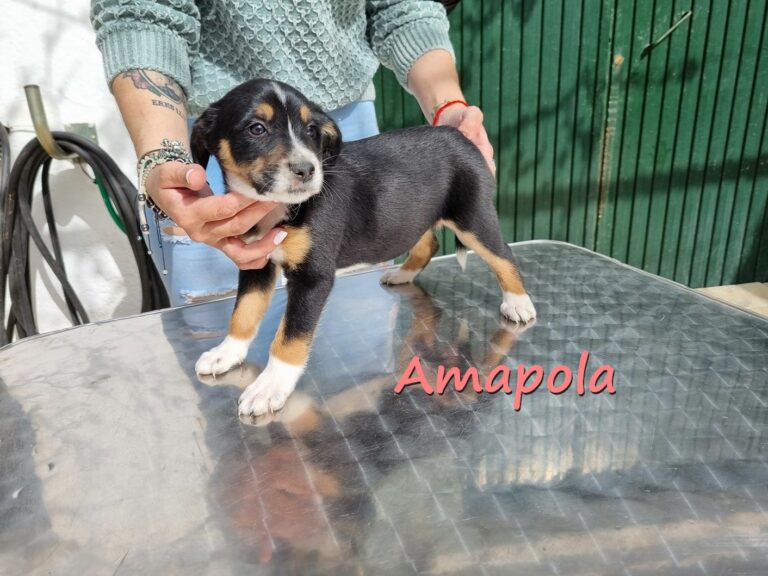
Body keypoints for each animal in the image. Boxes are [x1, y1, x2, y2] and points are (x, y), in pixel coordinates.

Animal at [191, 79, 536, 417]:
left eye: (311, 130)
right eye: (256, 128)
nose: (307, 170)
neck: (277, 208)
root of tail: (460, 137)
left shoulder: (313, 277)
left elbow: (290, 336)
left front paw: (270, 387)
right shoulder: (257, 264)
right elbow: (243, 312)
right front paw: (226, 353)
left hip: (472, 216)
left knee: (503, 255)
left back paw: (518, 303)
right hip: (414, 216)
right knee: (429, 243)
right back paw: (402, 276)